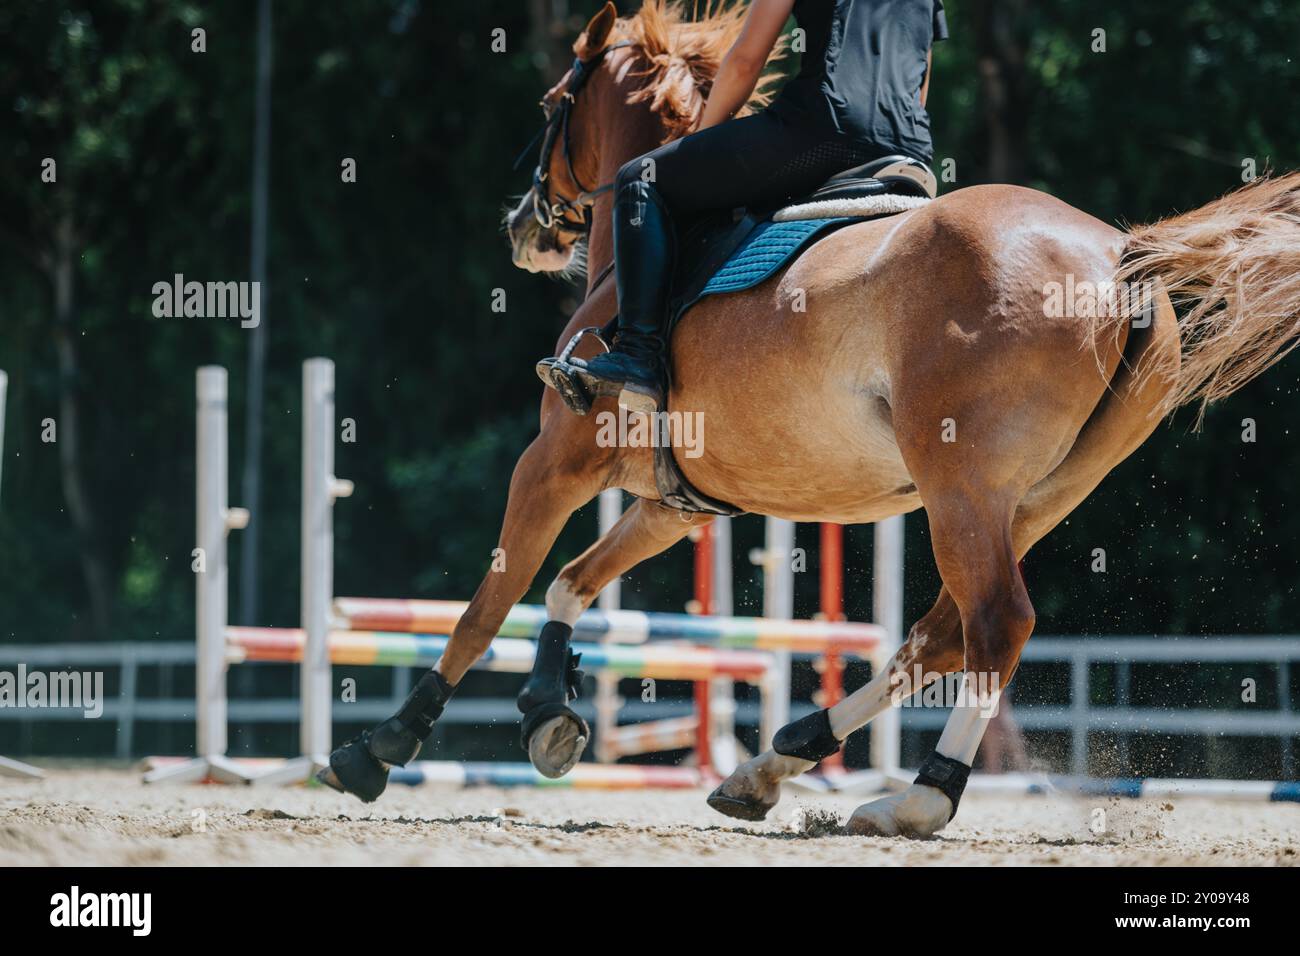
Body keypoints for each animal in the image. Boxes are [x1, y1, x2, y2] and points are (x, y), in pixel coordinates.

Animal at [438, 0, 1299, 838]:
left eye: (554, 103)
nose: (522, 225)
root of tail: (1121, 257)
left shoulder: (556, 459)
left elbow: (490, 605)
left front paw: (409, 736)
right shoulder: (675, 505)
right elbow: (571, 584)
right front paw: (547, 711)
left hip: (960, 486)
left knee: (993, 623)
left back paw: (918, 800)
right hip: (1032, 500)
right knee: (939, 636)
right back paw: (777, 762)